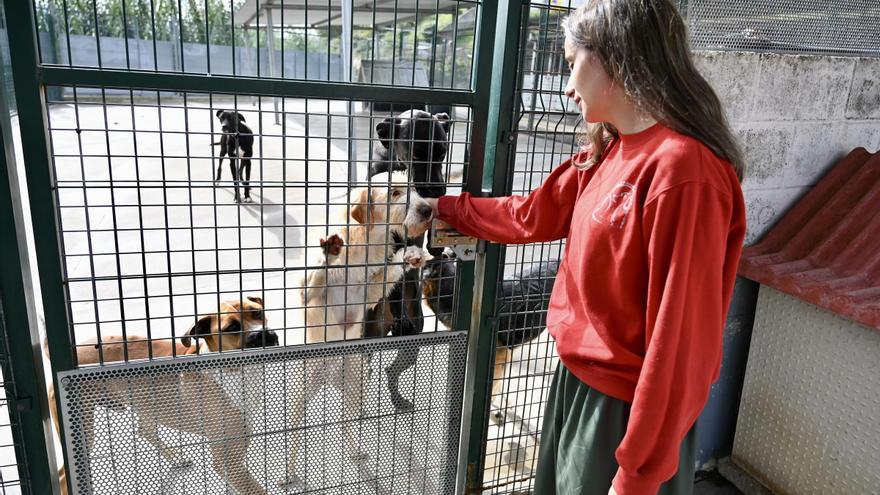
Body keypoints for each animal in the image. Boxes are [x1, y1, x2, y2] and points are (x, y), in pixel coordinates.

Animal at [49, 298, 276, 495]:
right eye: (231, 328)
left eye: (257, 312)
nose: (265, 334)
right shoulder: (228, 460)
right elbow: (257, 490)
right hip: (84, 433)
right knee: (63, 476)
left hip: (146, 405)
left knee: (145, 430)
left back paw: (177, 458)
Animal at [360, 110, 450, 412]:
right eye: (418, 154)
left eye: (442, 154)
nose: (437, 190)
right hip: (367, 334)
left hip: (414, 340)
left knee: (391, 370)